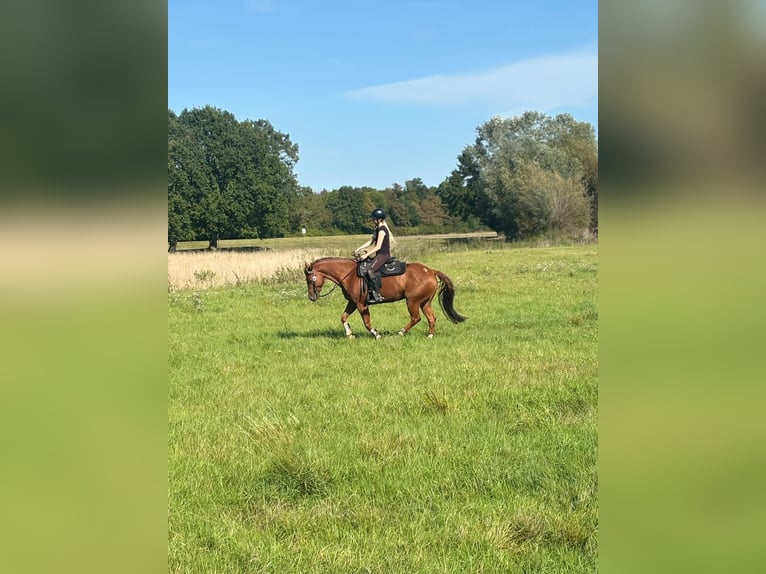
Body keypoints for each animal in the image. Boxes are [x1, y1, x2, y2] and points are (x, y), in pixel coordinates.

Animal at [303, 257, 466, 339]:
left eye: (310, 279)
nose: (311, 297)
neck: (349, 274)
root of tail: (431, 271)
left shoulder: (361, 304)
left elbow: (367, 322)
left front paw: (376, 334)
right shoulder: (353, 303)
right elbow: (343, 317)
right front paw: (349, 334)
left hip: (412, 301)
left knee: (416, 318)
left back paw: (401, 332)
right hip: (424, 302)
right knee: (431, 318)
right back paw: (430, 335)